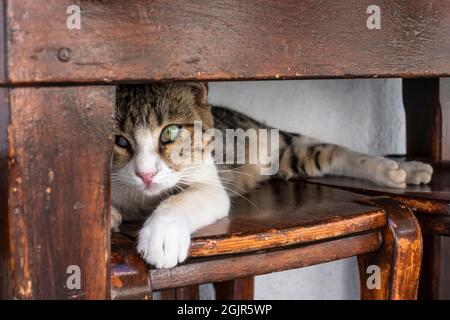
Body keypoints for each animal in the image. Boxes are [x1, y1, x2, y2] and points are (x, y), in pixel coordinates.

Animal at [111, 82, 432, 268]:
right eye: (119, 141)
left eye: (170, 132)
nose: (146, 174)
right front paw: (112, 216)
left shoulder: (209, 179)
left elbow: (184, 198)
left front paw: (161, 237)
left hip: (278, 144)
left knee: (332, 150)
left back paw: (401, 169)